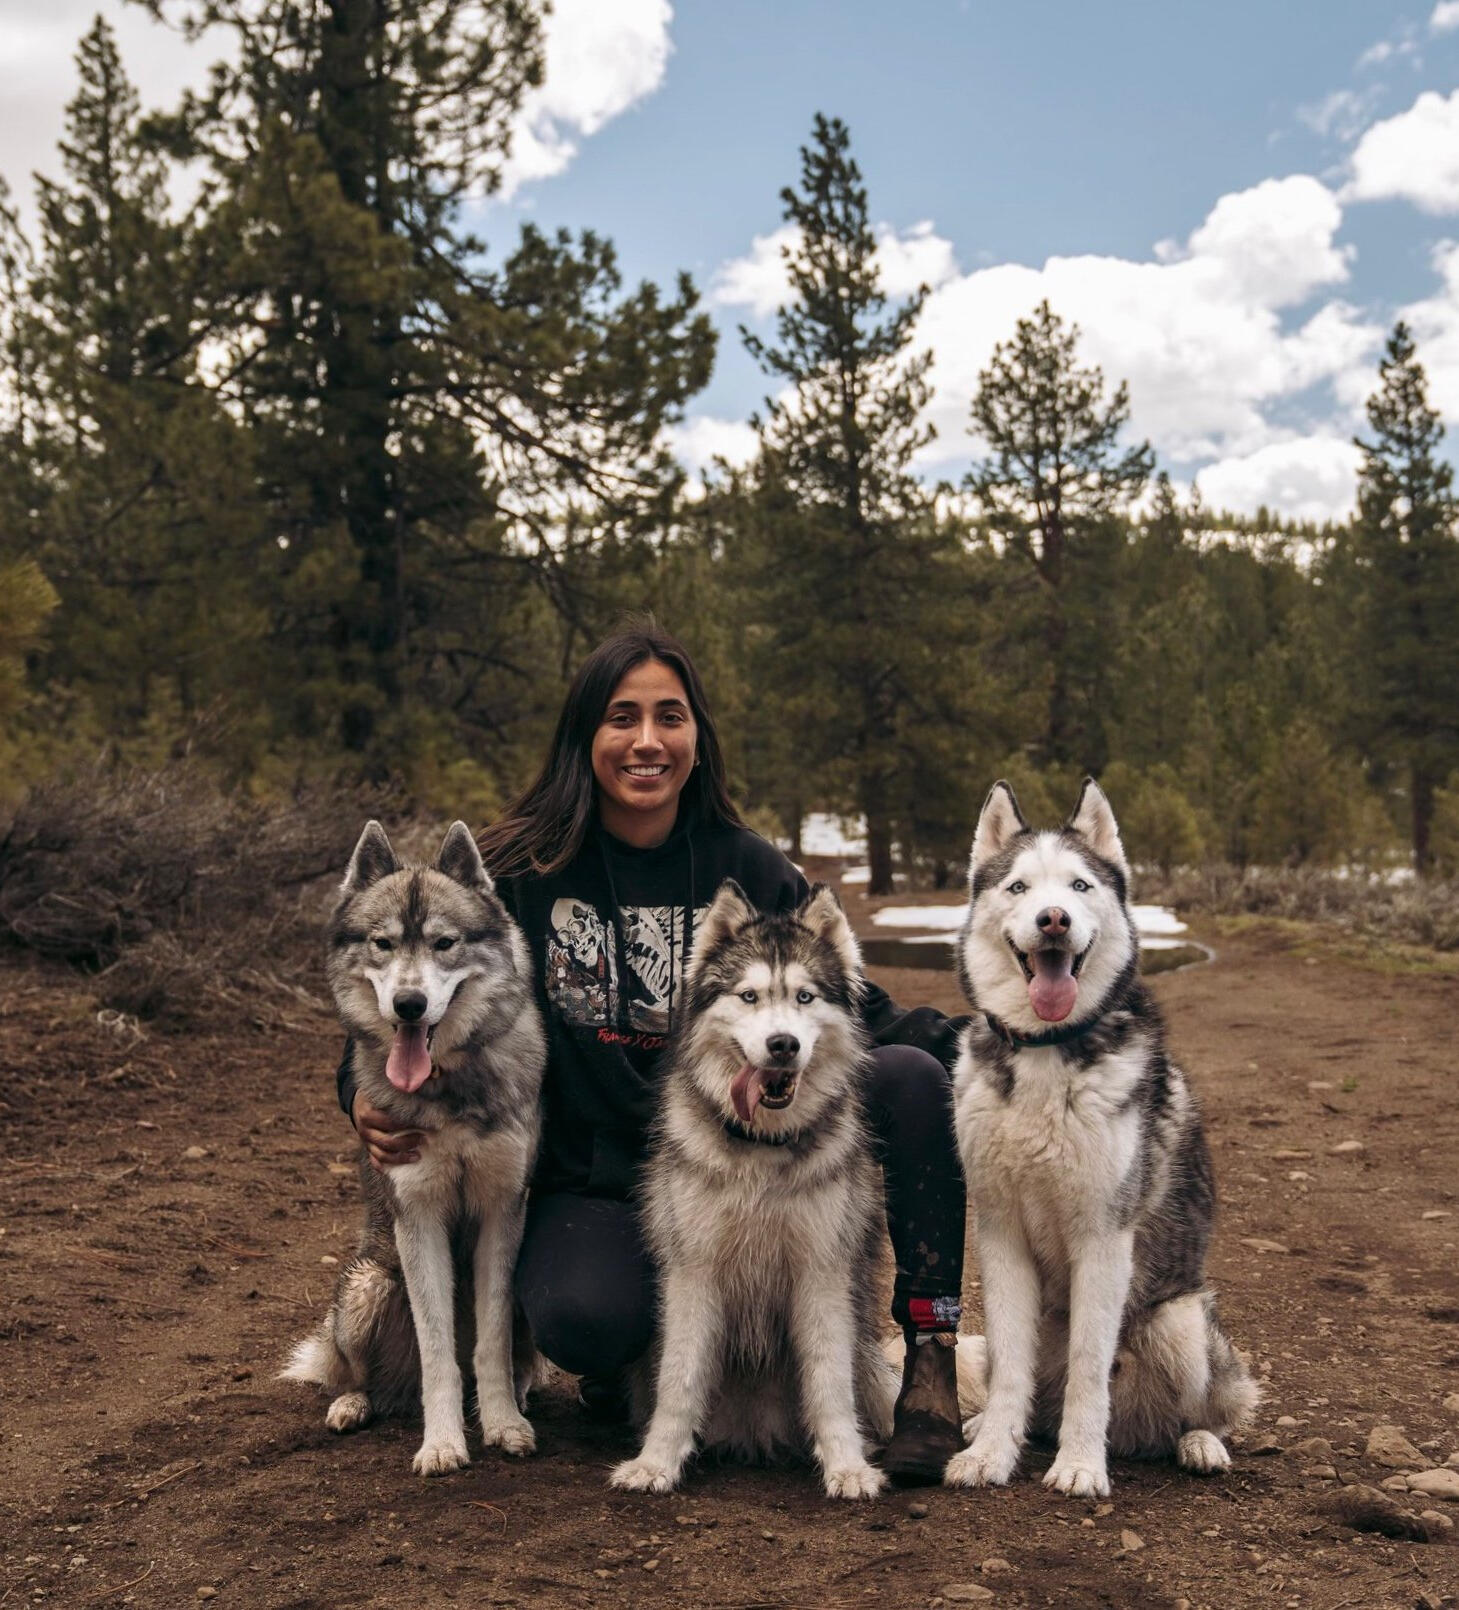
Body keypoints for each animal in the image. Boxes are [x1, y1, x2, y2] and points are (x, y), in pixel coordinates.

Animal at [283, 820, 545, 1476]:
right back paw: (353, 1404)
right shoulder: (418, 1215)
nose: (409, 1004)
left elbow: (490, 1345)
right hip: (366, 1288)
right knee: (356, 1375)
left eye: (444, 943)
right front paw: (444, 1443)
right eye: (383, 943)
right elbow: (438, 1353)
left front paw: (503, 1424)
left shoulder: (502, 1210)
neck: (447, 1089)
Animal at [609, 881, 897, 1500]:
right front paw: (656, 1462)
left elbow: (829, 1380)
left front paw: (847, 1466)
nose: (783, 1044)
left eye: (806, 997)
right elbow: (680, 1377)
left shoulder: (822, 1271)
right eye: (748, 997)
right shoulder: (693, 1270)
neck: (762, 1149)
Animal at [945, 779, 1257, 1499]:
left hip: (1179, 1322)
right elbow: (1010, 1369)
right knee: (1027, 1386)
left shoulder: (1103, 1237)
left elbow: (1090, 1365)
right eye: (1019, 887)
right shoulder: (999, 1232)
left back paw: (1196, 1444)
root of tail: (1136, 1431)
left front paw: (1081, 1465)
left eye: (1080, 885)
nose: (1053, 919)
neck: (1044, 1049)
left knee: (1200, 1413)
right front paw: (990, 1454)